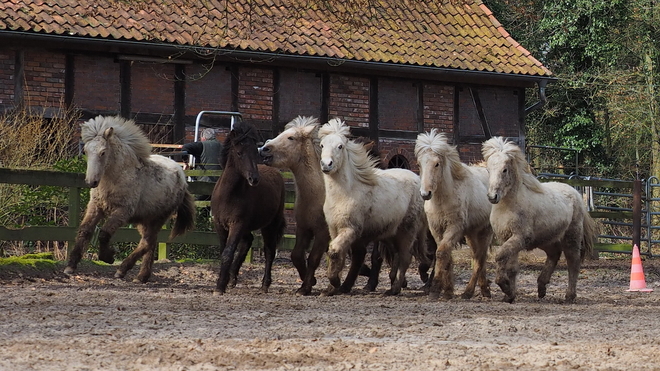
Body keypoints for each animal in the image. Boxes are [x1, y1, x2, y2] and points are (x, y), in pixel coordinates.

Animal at [63, 115, 195, 284]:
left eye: (103, 152)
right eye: (85, 151)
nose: (91, 181)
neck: (115, 179)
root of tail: (182, 176)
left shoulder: (122, 211)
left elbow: (104, 233)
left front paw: (108, 256)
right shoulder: (96, 206)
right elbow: (84, 231)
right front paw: (70, 267)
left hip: (159, 217)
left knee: (147, 242)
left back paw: (122, 270)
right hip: (144, 220)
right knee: (151, 242)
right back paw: (142, 276)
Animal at [211, 120, 284, 294]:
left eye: (255, 152)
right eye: (239, 153)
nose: (254, 179)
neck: (229, 195)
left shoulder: (237, 224)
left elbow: (228, 252)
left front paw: (220, 286)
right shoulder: (220, 225)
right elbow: (223, 251)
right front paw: (224, 281)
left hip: (270, 225)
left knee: (269, 251)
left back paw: (265, 284)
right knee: (248, 242)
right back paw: (233, 278)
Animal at [320, 118, 428, 296]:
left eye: (340, 146)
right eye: (322, 145)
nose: (326, 164)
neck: (346, 192)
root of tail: (417, 179)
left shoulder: (351, 229)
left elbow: (336, 251)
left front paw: (335, 283)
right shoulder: (334, 229)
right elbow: (338, 255)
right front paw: (332, 288)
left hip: (407, 230)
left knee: (405, 257)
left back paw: (395, 289)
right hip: (391, 233)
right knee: (397, 256)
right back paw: (393, 285)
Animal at [416, 129, 492, 300]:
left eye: (437, 164)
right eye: (419, 163)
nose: (425, 194)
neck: (444, 198)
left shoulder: (454, 228)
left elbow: (442, 253)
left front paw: (436, 290)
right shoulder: (436, 229)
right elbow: (447, 256)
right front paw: (448, 291)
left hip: (485, 231)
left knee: (480, 259)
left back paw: (469, 292)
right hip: (472, 233)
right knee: (478, 257)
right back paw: (484, 290)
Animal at [480, 138, 600, 304]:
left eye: (504, 170)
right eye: (489, 170)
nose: (492, 197)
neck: (509, 205)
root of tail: (576, 194)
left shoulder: (520, 238)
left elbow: (500, 257)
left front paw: (505, 287)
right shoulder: (507, 238)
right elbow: (512, 268)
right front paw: (509, 295)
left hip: (571, 237)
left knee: (573, 263)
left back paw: (569, 296)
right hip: (547, 239)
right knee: (554, 255)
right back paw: (541, 287)